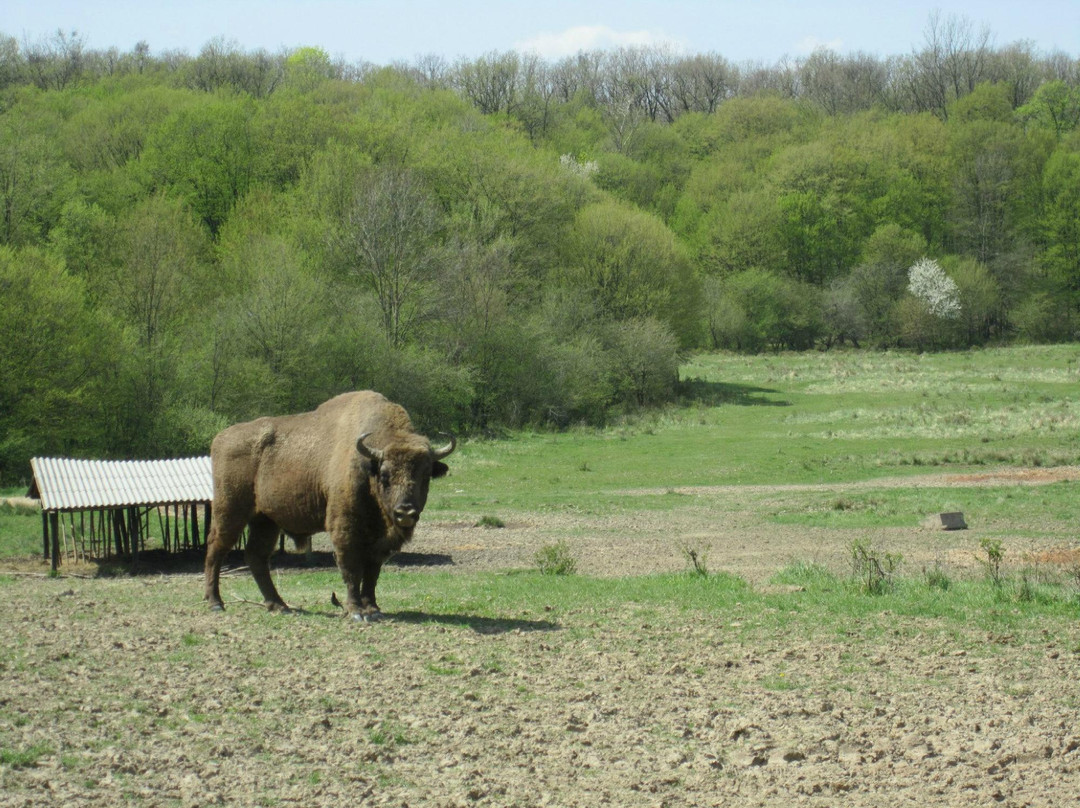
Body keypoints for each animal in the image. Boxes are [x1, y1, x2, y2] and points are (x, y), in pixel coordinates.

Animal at [204, 391, 453, 617]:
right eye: (384, 475)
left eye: (426, 475)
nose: (405, 512)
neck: (367, 466)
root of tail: (220, 438)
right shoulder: (345, 529)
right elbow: (351, 569)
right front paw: (356, 611)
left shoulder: (379, 542)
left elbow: (372, 573)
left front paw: (373, 609)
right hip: (230, 512)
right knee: (216, 548)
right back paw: (216, 603)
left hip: (265, 521)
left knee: (256, 557)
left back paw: (280, 606)